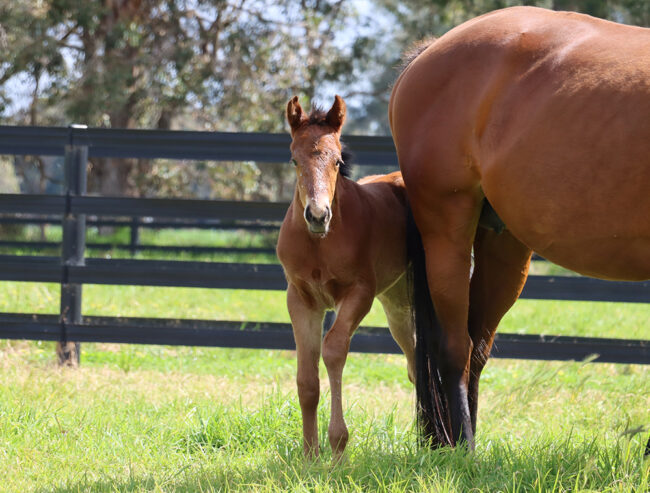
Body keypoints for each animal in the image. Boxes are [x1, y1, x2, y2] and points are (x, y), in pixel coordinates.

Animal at [276, 95, 418, 458]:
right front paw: (309, 455)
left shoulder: (358, 293)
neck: (319, 244)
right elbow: (307, 378)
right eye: (293, 159)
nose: (317, 215)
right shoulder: (301, 299)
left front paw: (338, 446)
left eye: (338, 161)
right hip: (396, 305)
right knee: (414, 363)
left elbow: (333, 350)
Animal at [389, 6, 650, 450]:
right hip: (446, 231)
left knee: (476, 346)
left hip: (503, 246)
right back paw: (464, 450)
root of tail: (431, 51)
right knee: (453, 348)